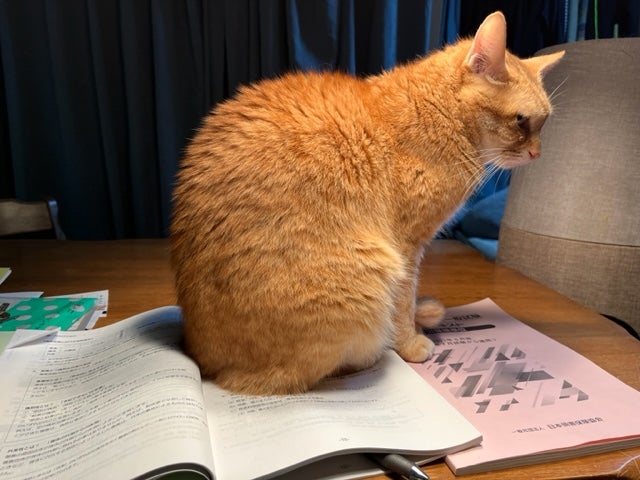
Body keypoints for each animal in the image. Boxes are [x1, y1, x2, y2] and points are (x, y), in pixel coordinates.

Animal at [170, 11, 563, 395]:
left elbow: (408, 300)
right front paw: (410, 342)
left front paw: (418, 318)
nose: (537, 153)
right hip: (368, 280)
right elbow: (402, 302)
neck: (438, 112)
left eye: (545, 123)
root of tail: (201, 359)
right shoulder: (407, 246)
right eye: (521, 121)